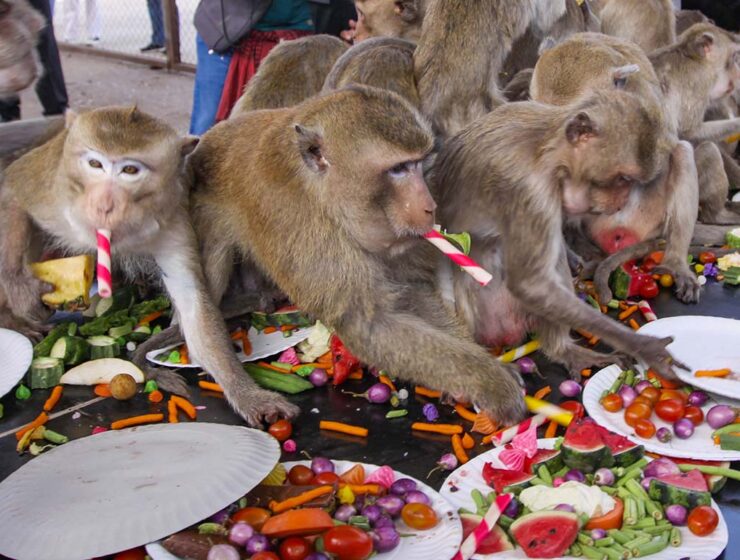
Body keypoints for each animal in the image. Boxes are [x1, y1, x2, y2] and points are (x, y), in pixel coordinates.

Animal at [0, 106, 299, 426]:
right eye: (95, 164)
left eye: (130, 170)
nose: (104, 205)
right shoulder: (54, 194)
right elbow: (12, 192)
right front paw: (20, 291)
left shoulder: (173, 222)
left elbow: (193, 306)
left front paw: (248, 396)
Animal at [189, 85, 527, 425]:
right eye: (398, 169)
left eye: (419, 164)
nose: (430, 206)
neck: (325, 198)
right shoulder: (307, 229)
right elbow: (369, 324)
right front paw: (492, 384)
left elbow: (413, 291)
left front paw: (476, 376)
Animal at [432, 89, 689, 380]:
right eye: (623, 179)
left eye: (631, 182)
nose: (620, 203)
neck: (546, 151)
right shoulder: (529, 190)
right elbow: (530, 284)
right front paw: (643, 346)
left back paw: (562, 349)